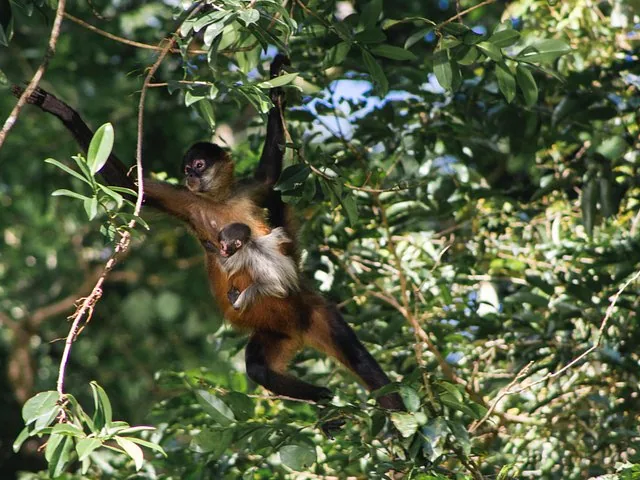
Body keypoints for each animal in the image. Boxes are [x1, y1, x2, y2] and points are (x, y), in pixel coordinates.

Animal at [13, 55, 406, 411]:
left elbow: (269, 173)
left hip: (315, 310)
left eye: (198, 165)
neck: (218, 200)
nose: (190, 175)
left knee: (357, 357)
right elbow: (130, 185)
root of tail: (298, 329)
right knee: (259, 369)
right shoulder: (187, 202)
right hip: (274, 333)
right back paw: (322, 398)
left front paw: (276, 79)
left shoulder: (247, 191)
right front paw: (60, 110)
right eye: (186, 169)